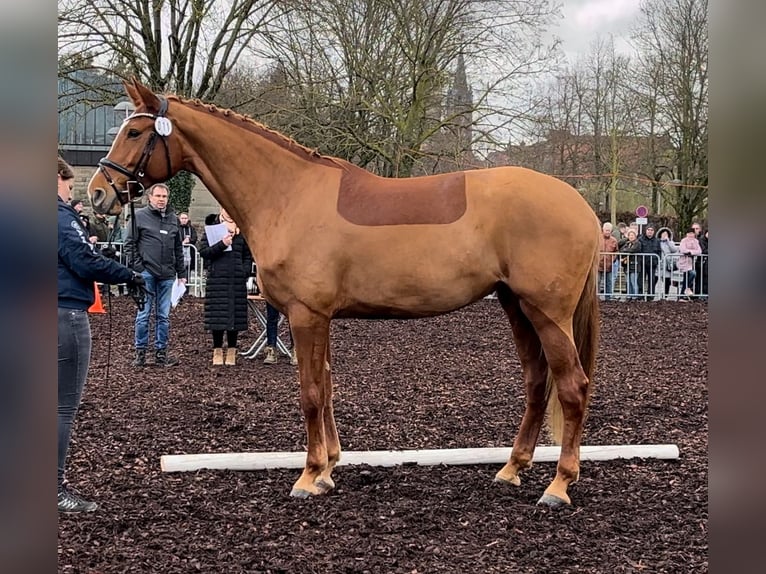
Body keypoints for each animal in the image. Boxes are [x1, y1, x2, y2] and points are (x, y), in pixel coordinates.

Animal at [90, 77, 604, 508]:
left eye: (135, 133)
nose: (98, 193)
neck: (288, 194)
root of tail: (580, 205)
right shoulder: (318, 318)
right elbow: (328, 386)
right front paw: (329, 469)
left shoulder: (306, 315)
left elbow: (312, 392)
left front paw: (308, 475)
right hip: (517, 307)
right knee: (537, 382)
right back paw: (512, 469)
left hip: (546, 313)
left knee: (572, 386)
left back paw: (559, 485)